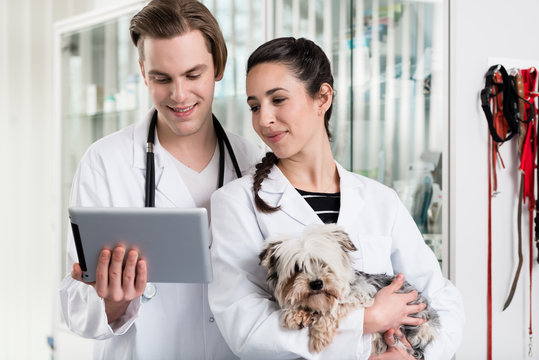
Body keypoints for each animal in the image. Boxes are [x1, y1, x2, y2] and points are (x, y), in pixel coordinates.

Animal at [260, 224, 440, 356]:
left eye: (325, 263)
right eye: (298, 268)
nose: (317, 284)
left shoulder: (361, 295)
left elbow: (333, 308)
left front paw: (319, 335)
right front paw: (295, 313)